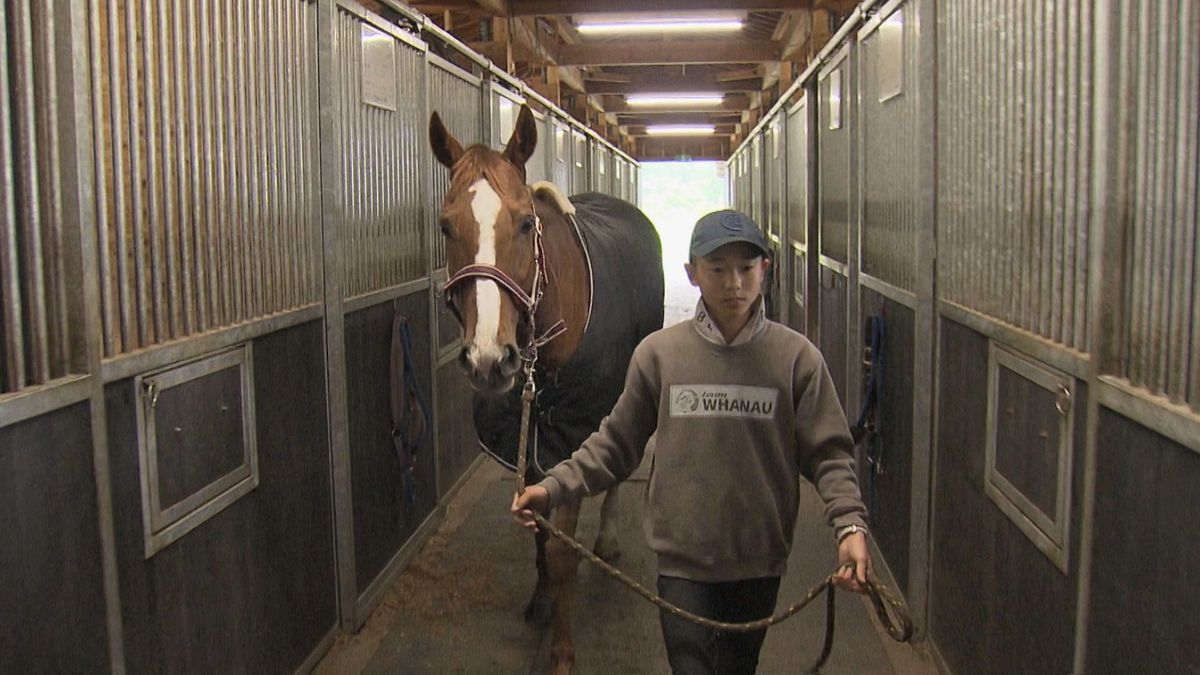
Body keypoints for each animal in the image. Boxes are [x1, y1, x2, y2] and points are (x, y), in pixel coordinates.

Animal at [427, 102, 662, 667]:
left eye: (525, 222)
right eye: (446, 226)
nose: (489, 359)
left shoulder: (574, 436)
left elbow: (560, 550)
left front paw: (561, 652)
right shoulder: (532, 439)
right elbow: (538, 527)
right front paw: (540, 600)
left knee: (617, 473)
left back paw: (608, 539)